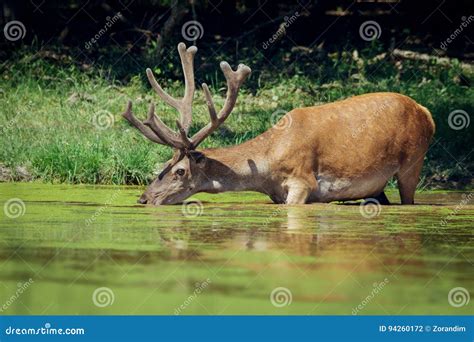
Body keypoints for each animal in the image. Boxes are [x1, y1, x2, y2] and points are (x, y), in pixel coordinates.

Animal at [120, 44, 436, 207]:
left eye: (180, 171)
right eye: (162, 165)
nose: (143, 199)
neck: (266, 166)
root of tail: (427, 112)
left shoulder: (303, 182)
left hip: (413, 161)